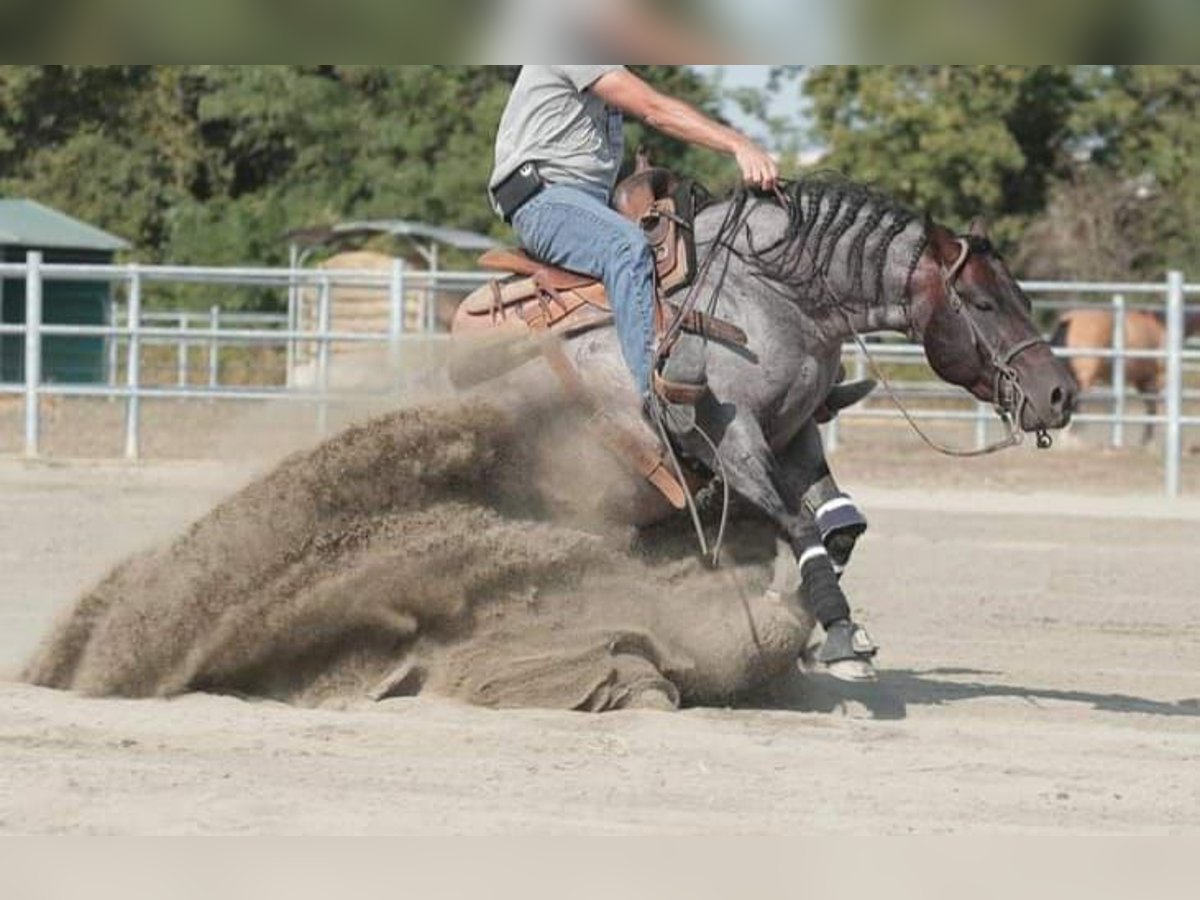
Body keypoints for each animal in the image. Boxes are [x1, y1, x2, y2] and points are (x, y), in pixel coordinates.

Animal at [451, 172, 1080, 681]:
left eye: (1024, 297)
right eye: (982, 303)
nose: (1060, 393)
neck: (772, 293)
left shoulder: (795, 436)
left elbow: (841, 526)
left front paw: (814, 626)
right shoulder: (730, 442)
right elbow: (798, 524)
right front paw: (837, 638)